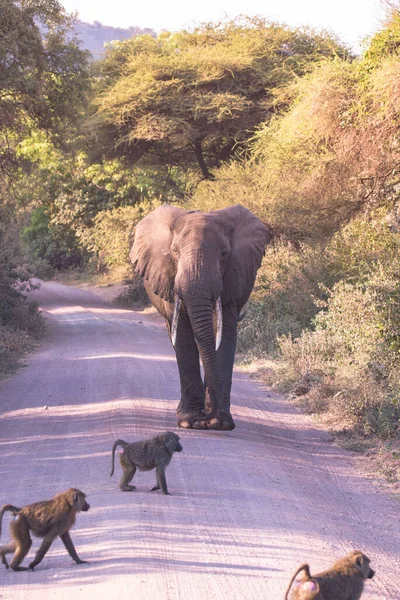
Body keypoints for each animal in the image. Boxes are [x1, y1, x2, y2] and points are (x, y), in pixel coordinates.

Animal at [130, 204, 272, 428]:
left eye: (224, 254)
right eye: (175, 253)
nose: (209, 415)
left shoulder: (231, 280)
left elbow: (224, 334)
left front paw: (218, 422)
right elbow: (184, 337)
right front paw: (190, 422)